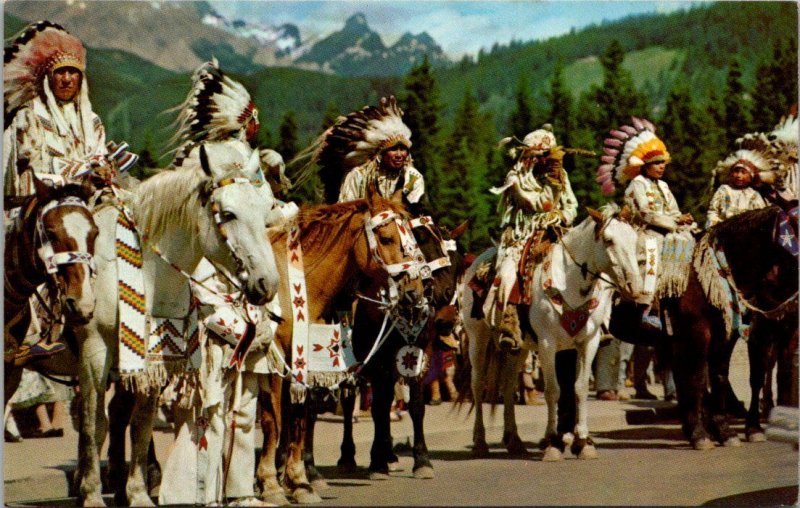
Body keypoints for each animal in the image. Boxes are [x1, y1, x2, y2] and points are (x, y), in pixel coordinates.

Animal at [74, 144, 282, 508]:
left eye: (264, 210)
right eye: (228, 214)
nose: (267, 284)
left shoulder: (153, 362)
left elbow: (141, 426)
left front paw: (138, 494)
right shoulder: (93, 353)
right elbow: (93, 425)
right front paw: (91, 495)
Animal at [260, 191, 428, 504]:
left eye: (413, 238)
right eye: (386, 238)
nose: (415, 292)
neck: (293, 284)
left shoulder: (301, 364)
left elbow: (297, 419)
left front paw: (299, 483)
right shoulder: (272, 366)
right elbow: (272, 422)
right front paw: (270, 485)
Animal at [460, 204, 640, 462]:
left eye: (634, 239)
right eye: (608, 240)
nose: (634, 287)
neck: (568, 282)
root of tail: (479, 260)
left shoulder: (588, 342)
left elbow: (579, 389)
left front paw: (583, 443)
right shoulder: (547, 344)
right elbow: (553, 391)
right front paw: (553, 443)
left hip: (518, 348)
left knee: (508, 386)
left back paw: (514, 441)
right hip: (478, 339)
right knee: (477, 385)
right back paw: (480, 443)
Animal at [668, 204, 800, 450]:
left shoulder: (754, 332)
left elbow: (752, 376)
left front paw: (742, 429)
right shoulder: (700, 331)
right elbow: (699, 378)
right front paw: (702, 435)